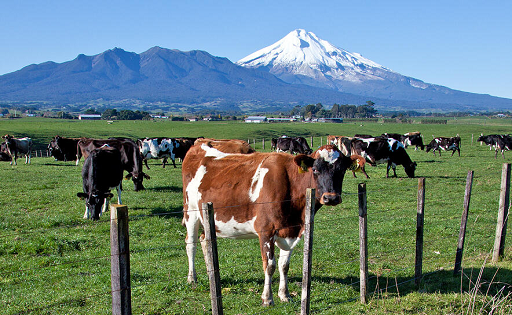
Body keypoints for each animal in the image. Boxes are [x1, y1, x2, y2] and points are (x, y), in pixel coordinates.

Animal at [182, 144, 358, 308]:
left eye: (342, 170)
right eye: (315, 169)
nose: (331, 198)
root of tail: (198, 145)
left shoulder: (290, 231)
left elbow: (284, 265)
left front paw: (285, 295)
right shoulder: (266, 231)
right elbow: (270, 265)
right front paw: (267, 298)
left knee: (204, 240)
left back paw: (210, 272)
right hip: (191, 212)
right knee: (191, 243)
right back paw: (192, 278)